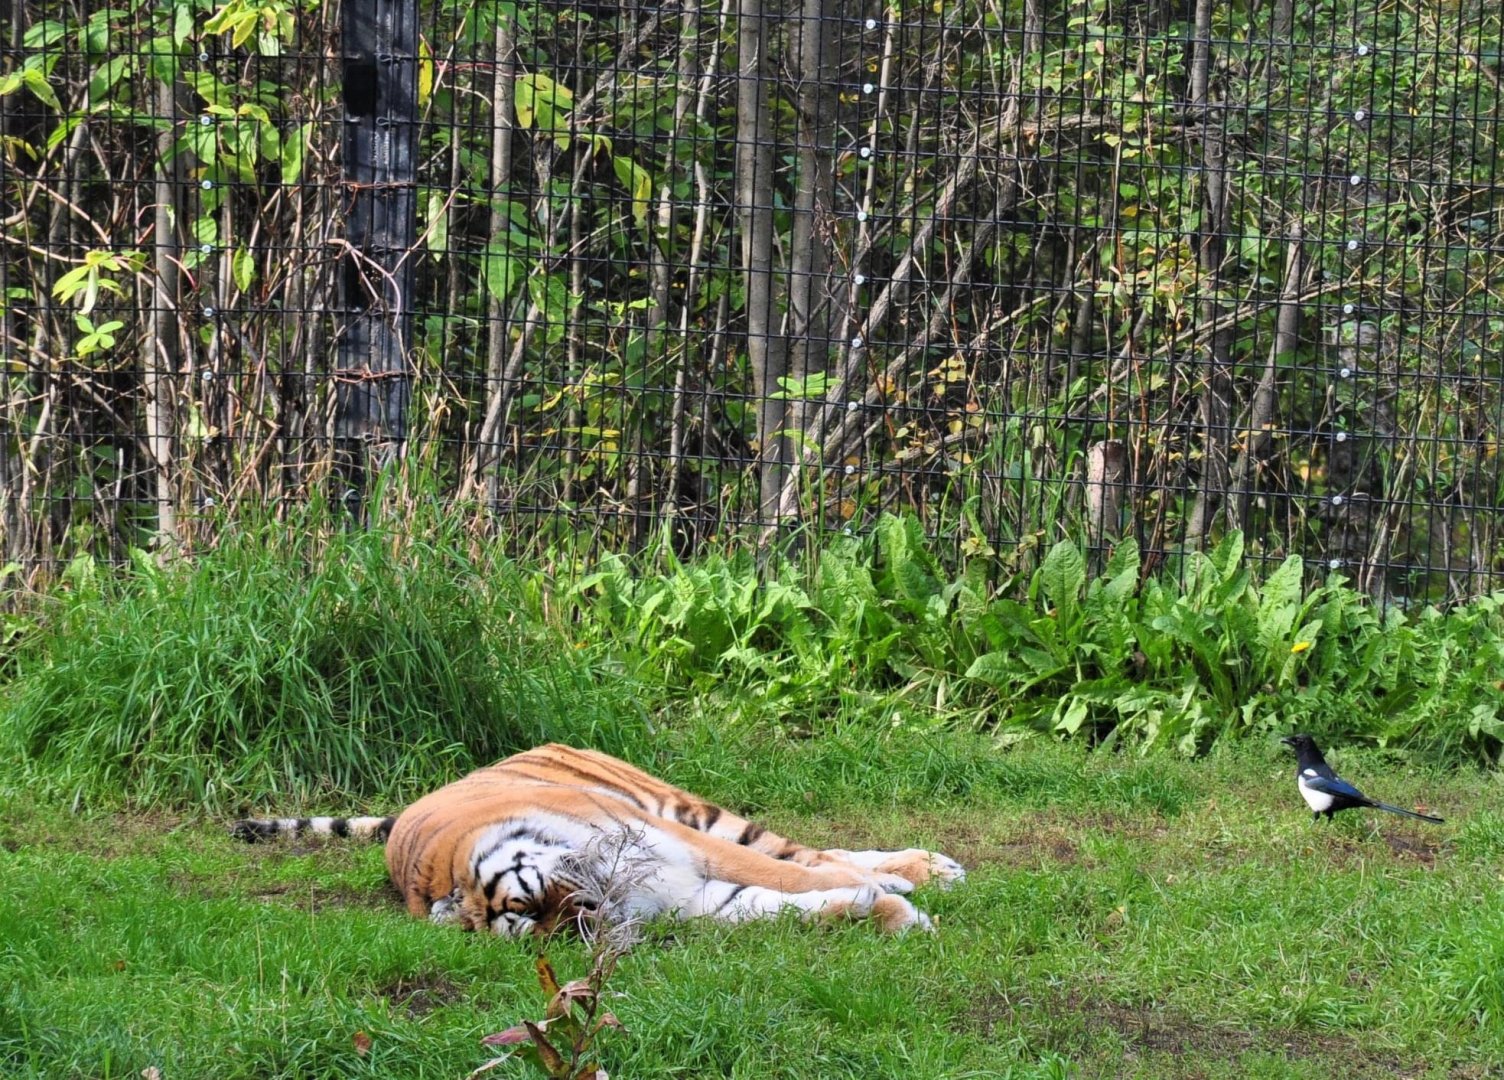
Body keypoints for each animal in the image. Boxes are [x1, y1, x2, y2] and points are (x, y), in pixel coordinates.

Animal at [232, 743, 964, 936]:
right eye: (546, 931)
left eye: (527, 895)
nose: (590, 912)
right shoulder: (689, 899)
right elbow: (777, 904)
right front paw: (892, 914)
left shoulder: (678, 845)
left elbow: (791, 873)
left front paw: (892, 894)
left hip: (687, 809)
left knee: (800, 849)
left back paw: (925, 868)